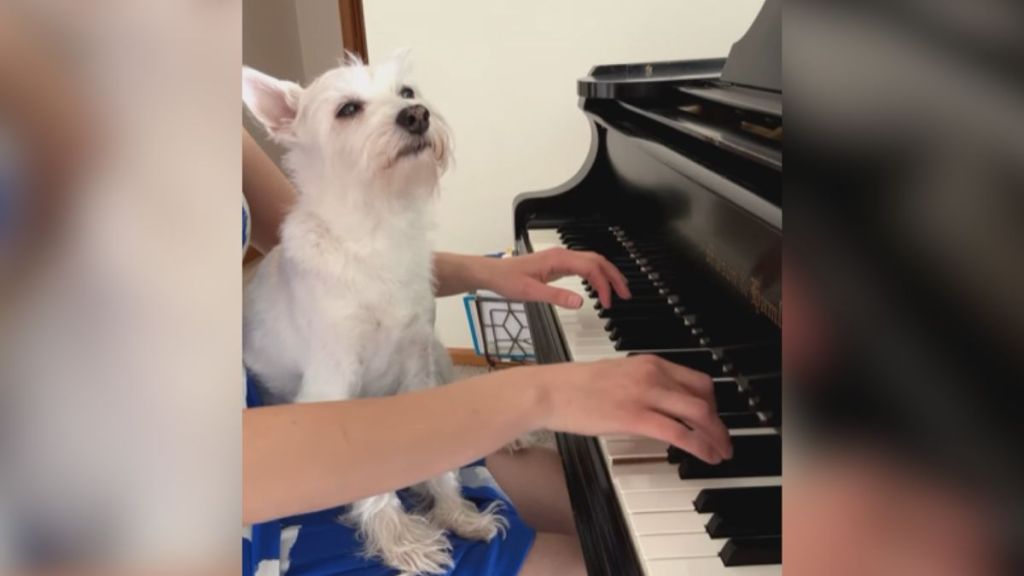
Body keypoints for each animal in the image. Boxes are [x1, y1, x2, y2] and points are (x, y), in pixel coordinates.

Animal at [244, 51, 507, 569]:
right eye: (347, 109)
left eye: (406, 93)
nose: (417, 115)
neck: (376, 229)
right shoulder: (334, 388)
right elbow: (372, 480)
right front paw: (405, 543)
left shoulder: (418, 366)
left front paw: (455, 512)